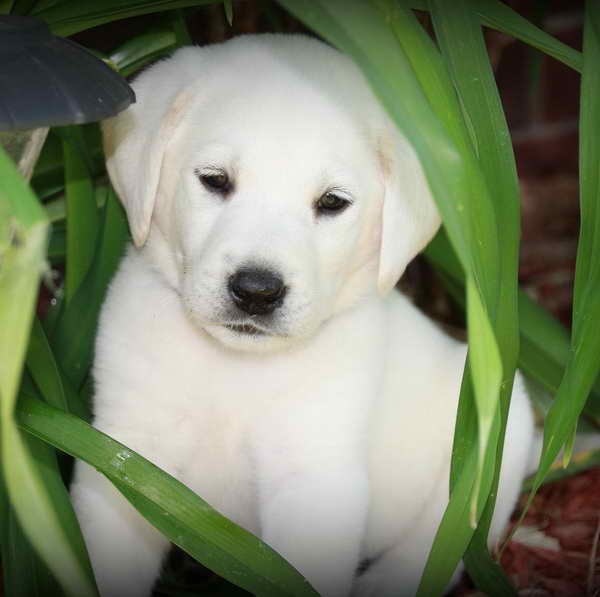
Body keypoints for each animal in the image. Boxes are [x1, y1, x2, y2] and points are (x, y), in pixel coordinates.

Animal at [70, 33, 536, 596]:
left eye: (332, 202)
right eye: (215, 180)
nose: (256, 291)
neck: (234, 371)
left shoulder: (314, 479)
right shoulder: (124, 458)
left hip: (497, 427)